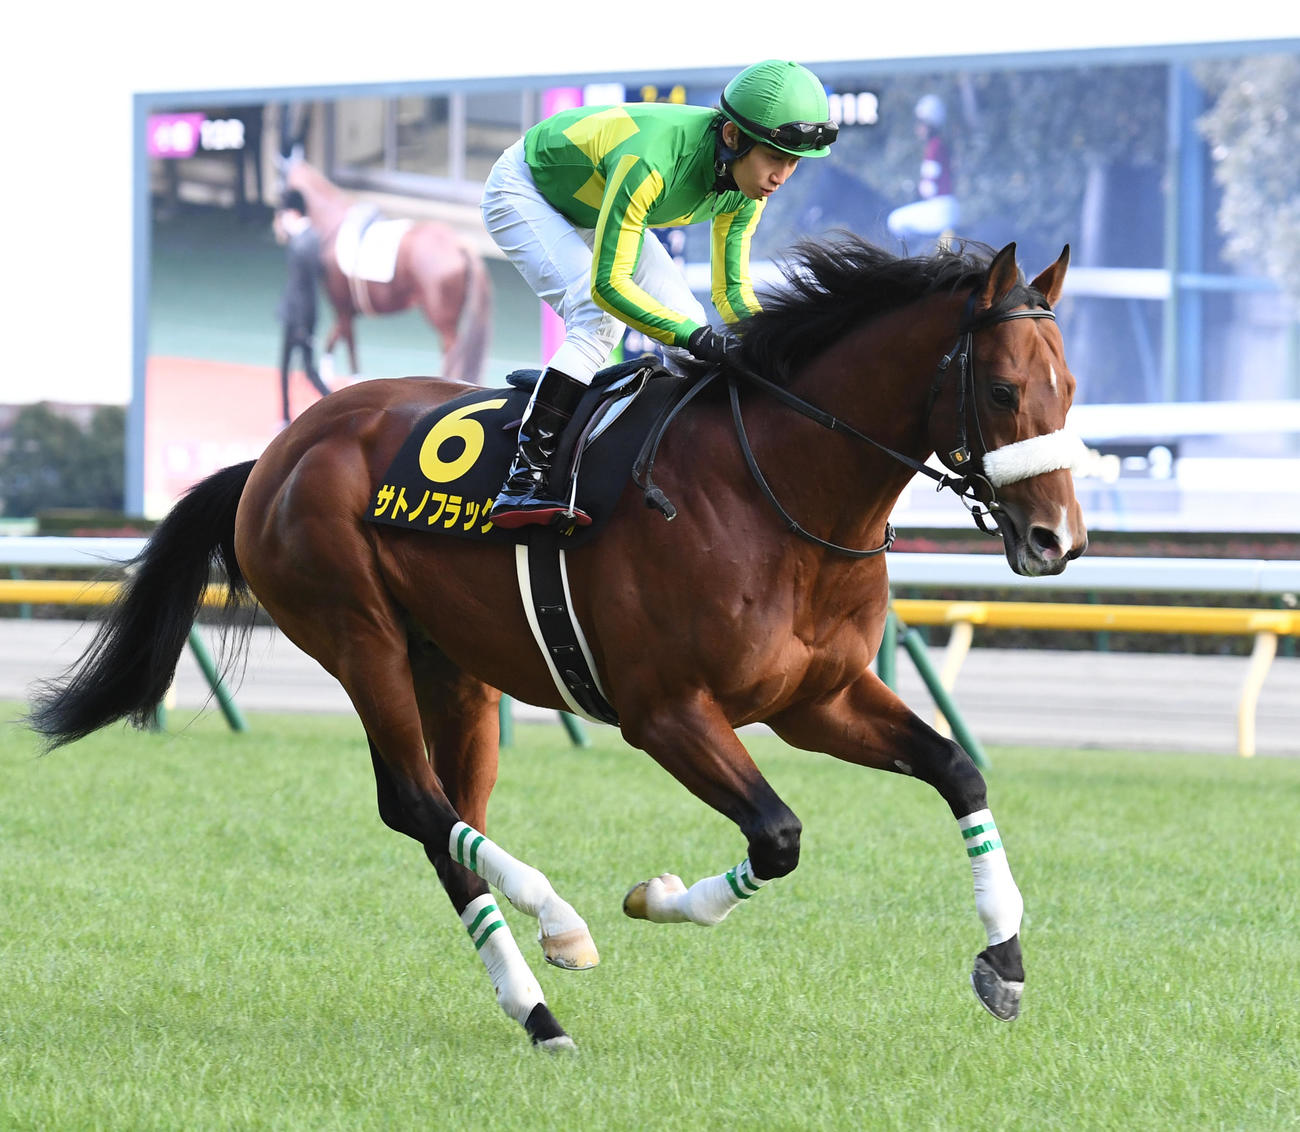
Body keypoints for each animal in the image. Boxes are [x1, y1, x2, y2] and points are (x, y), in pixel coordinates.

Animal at [29, 237, 1087, 1051]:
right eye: (1002, 390)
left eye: (1069, 386)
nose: (1058, 539)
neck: (777, 492)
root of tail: (276, 454)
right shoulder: (665, 712)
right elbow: (779, 835)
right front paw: (656, 898)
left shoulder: (815, 699)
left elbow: (958, 770)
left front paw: (1004, 959)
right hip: (357, 634)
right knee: (417, 803)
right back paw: (560, 926)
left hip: (452, 668)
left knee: (449, 825)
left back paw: (536, 1010)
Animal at [282, 158, 492, 385]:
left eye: (280, 183)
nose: (279, 230)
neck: (333, 228)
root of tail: (459, 245)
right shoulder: (348, 309)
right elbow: (335, 336)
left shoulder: (342, 306)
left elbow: (348, 343)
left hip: (441, 318)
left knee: (453, 349)